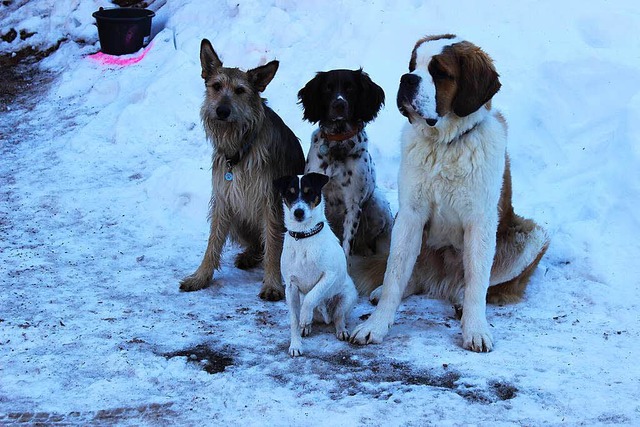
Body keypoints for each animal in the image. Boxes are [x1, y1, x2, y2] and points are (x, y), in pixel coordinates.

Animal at [181, 39, 306, 300]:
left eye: (240, 90)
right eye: (216, 86)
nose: (222, 111)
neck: (239, 148)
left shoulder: (271, 200)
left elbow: (273, 244)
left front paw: (272, 284)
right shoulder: (223, 198)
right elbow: (213, 241)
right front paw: (201, 277)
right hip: (238, 218)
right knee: (257, 244)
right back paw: (249, 255)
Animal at [298, 70, 392, 258]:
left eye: (351, 88)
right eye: (327, 88)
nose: (339, 104)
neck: (338, 143)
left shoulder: (353, 203)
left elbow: (346, 247)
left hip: (377, 204)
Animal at [350, 35, 552, 352]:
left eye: (440, 73)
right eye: (412, 65)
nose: (407, 79)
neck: (444, 144)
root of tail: (441, 280)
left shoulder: (480, 222)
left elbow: (478, 280)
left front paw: (476, 329)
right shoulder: (410, 216)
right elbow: (395, 274)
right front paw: (376, 325)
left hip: (533, 235)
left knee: (479, 285)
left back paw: (459, 300)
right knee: (411, 275)